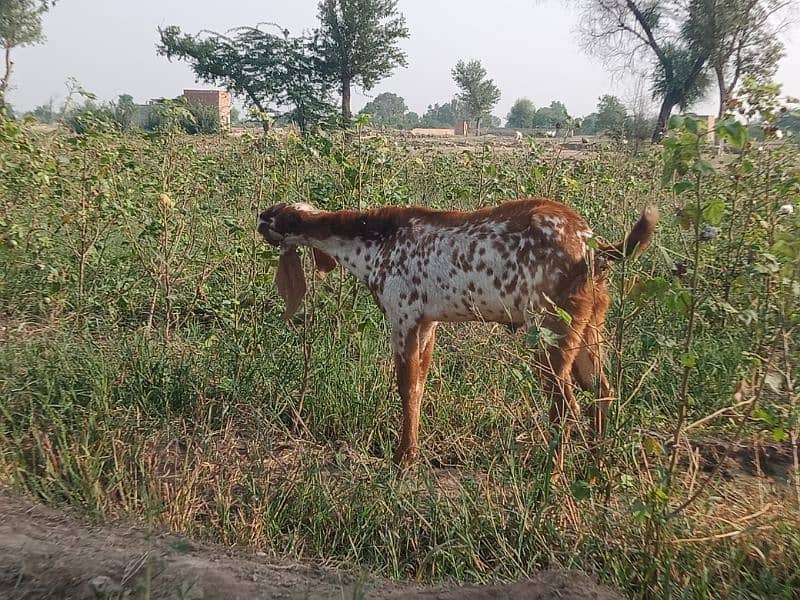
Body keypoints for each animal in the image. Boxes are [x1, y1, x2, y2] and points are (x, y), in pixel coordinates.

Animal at [256, 199, 656, 472]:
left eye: (278, 216)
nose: (260, 216)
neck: (374, 238)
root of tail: (592, 249)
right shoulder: (427, 324)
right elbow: (419, 386)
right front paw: (411, 452)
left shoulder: (402, 317)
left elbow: (406, 386)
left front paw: (402, 458)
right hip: (590, 326)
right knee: (603, 391)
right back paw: (595, 468)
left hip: (548, 332)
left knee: (565, 406)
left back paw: (551, 479)